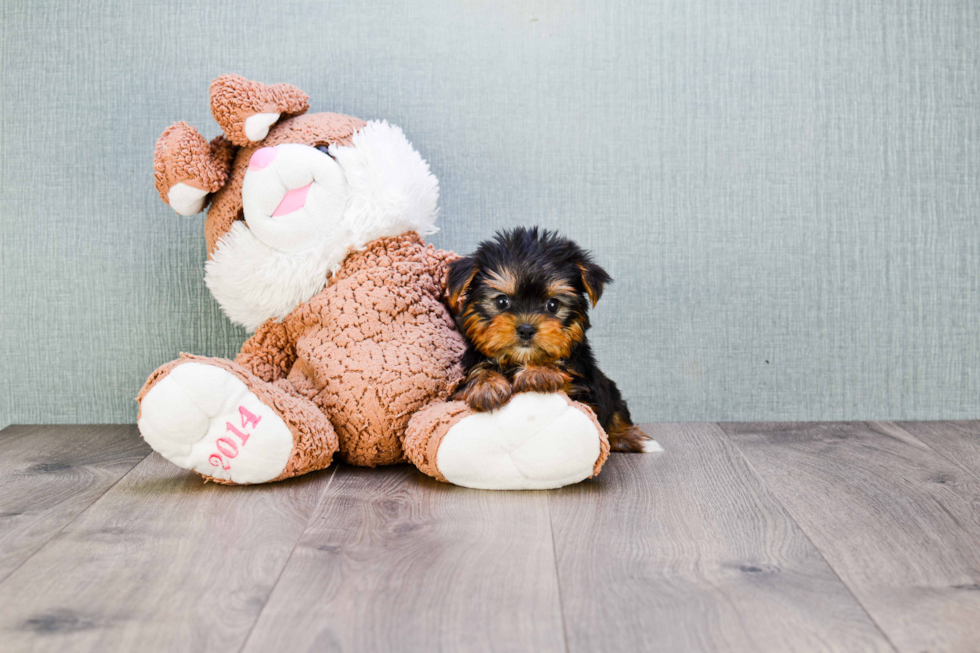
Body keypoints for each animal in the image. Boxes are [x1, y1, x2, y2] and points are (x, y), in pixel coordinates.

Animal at [448, 227, 656, 450]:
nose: (526, 329)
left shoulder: (583, 388)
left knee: (617, 412)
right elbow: (477, 371)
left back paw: (629, 436)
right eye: (502, 301)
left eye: (553, 305)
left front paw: (540, 372)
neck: (519, 359)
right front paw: (486, 385)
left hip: (610, 391)